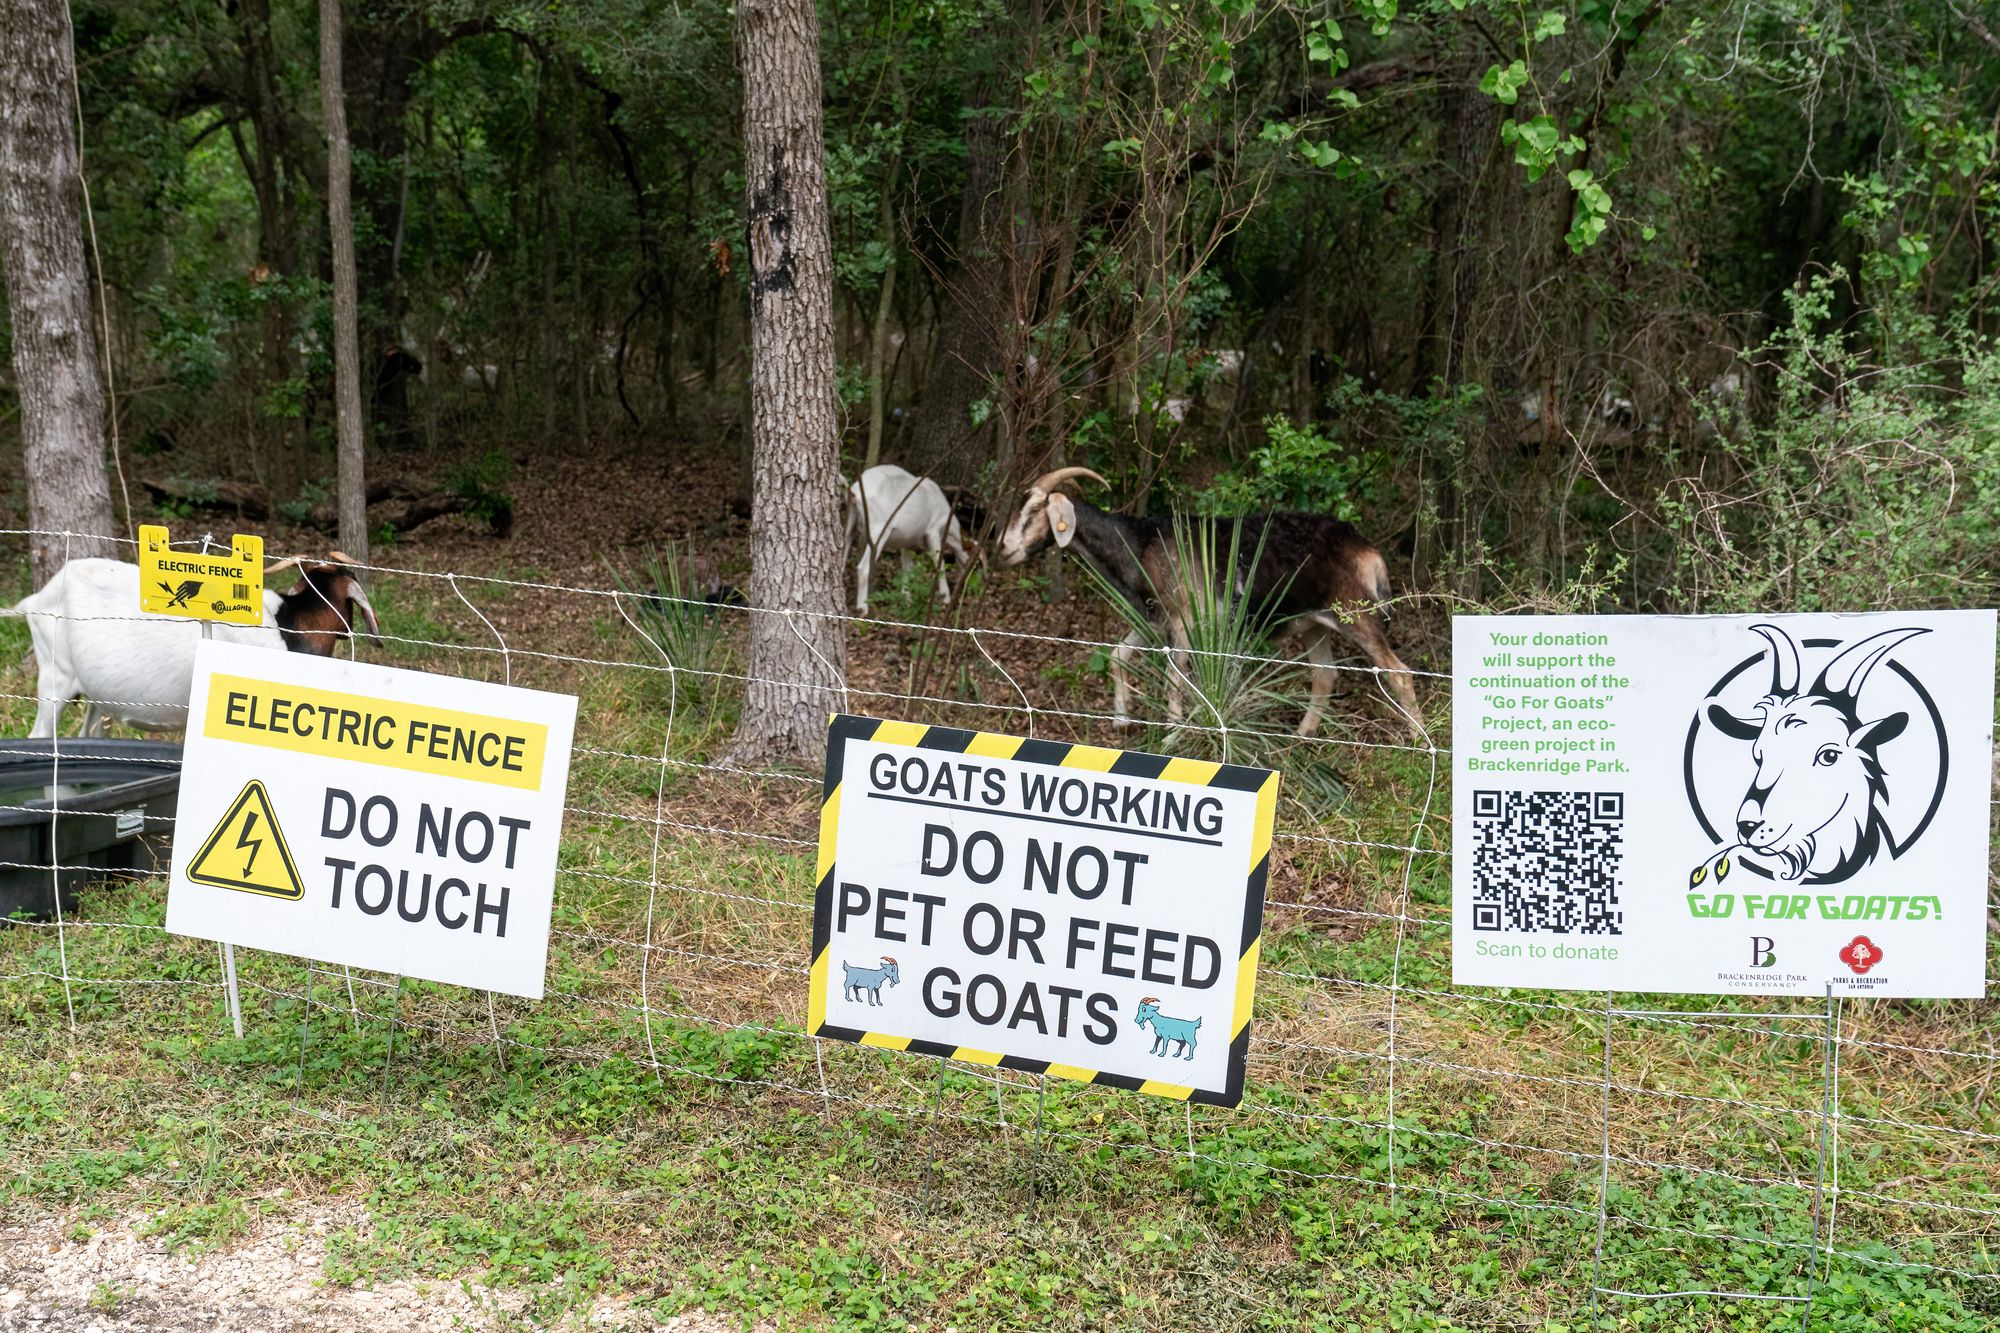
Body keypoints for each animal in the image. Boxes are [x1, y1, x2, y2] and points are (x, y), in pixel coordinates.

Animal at [844, 464, 976, 614]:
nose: (969, 585)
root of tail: (854, 492)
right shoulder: (933, 531)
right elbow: (939, 562)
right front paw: (945, 598)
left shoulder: (906, 542)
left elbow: (907, 570)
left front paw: (907, 600)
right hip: (879, 528)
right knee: (863, 567)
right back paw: (863, 608)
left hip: (852, 521)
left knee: (844, 549)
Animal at [997, 467, 1419, 736]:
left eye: (1034, 511)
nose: (1004, 550)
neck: (1140, 545)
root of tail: (1367, 550)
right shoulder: (1152, 619)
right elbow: (1117, 656)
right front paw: (1121, 719)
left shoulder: (1184, 618)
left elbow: (1174, 674)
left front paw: (1172, 733)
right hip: (1314, 623)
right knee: (1325, 674)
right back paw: (1303, 734)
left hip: (1355, 613)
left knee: (1398, 673)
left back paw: (1418, 739)